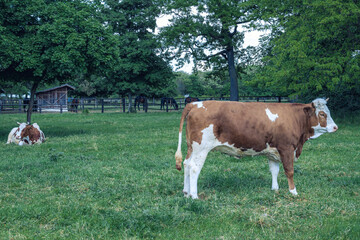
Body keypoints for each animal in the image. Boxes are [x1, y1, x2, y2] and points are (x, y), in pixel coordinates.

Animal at [174, 97, 338, 199]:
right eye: (322, 114)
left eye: (328, 112)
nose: (335, 127)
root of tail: (195, 104)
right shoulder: (287, 148)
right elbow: (289, 171)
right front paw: (293, 192)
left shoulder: (273, 152)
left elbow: (274, 170)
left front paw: (275, 189)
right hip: (201, 148)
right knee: (194, 167)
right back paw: (194, 196)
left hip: (191, 147)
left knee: (187, 164)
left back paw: (186, 192)